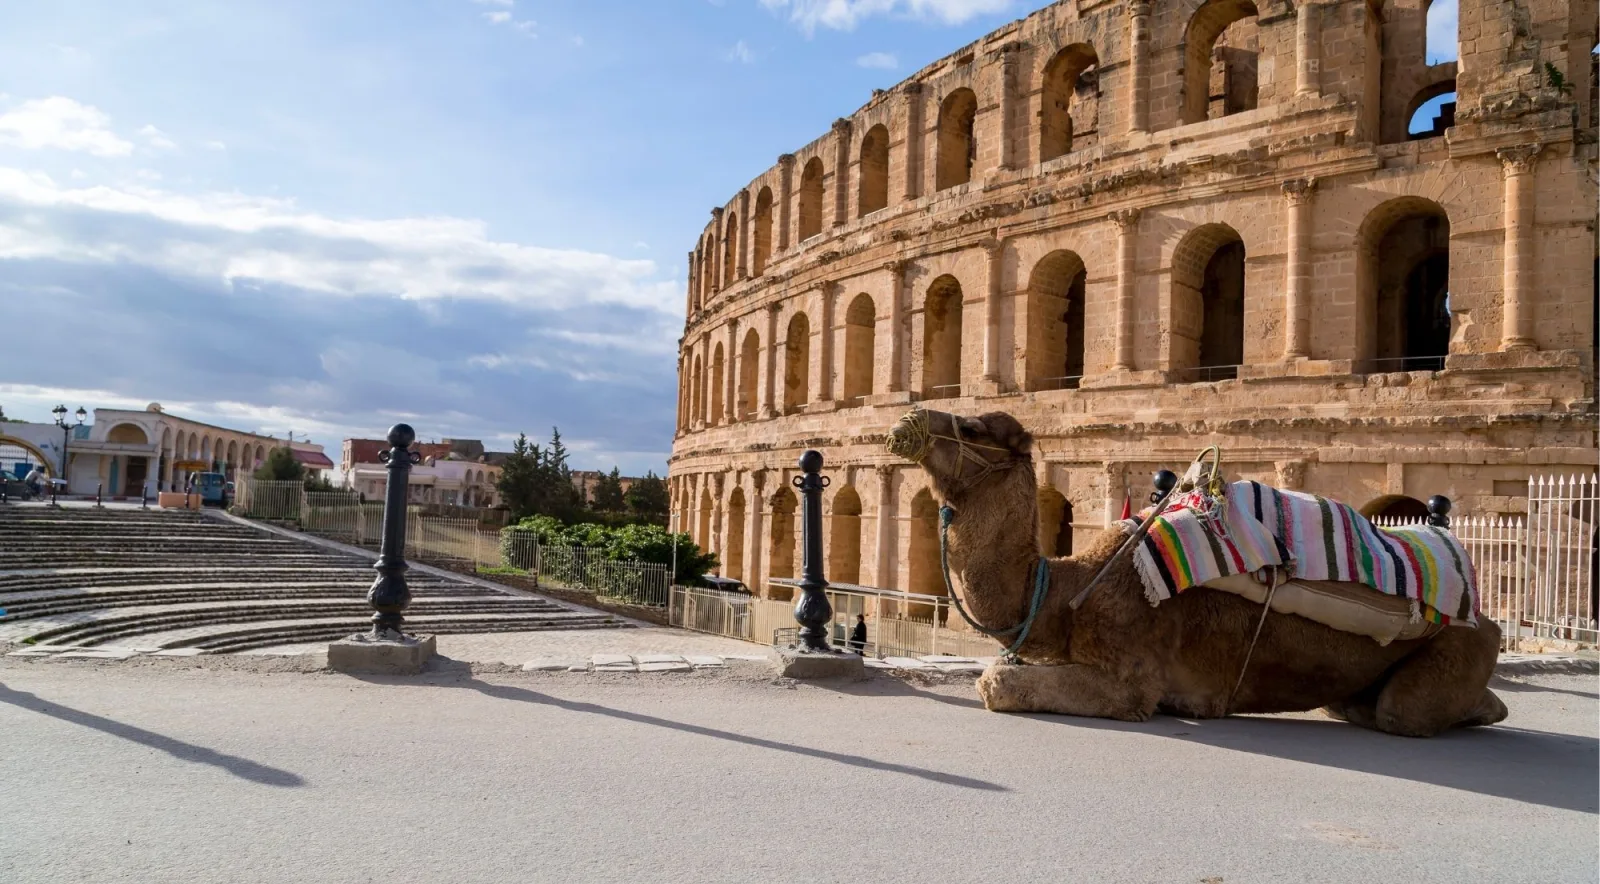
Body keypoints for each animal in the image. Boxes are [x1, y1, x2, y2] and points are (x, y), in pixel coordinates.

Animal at [884, 407, 1508, 738]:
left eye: (971, 427)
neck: (1066, 592)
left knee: (1407, 712)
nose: (909, 418)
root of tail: (1485, 613)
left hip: (1456, 648)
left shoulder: (1130, 673)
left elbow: (994, 682)